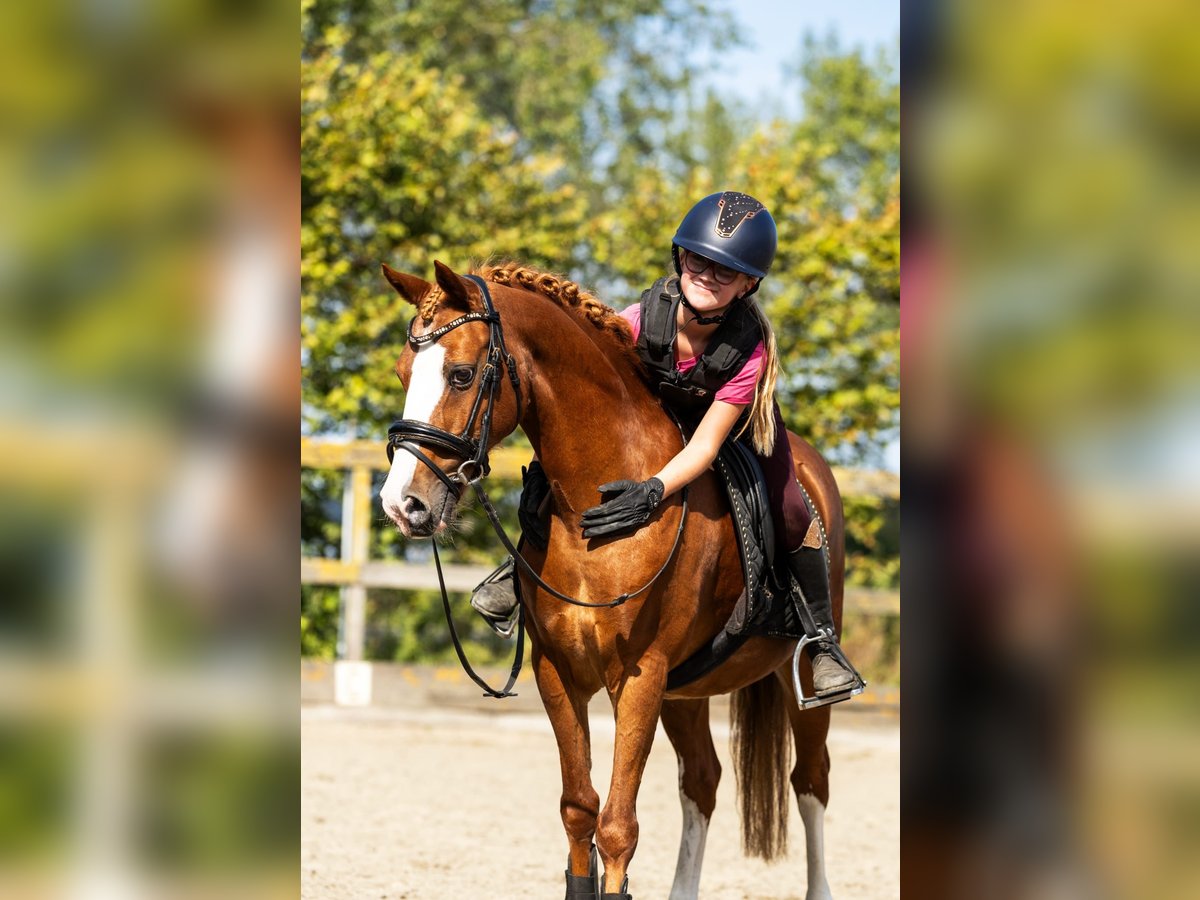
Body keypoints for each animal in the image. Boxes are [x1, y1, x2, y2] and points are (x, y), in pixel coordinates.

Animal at [376, 256, 844, 897]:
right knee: (702, 779)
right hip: (685, 690)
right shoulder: (558, 673)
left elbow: (618, 827)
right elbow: (580, 811)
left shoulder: (640, 676)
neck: (592, 508)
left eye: (462, 375)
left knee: (811, 782)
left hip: (796, 685)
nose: (403, 505)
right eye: (404, 372)